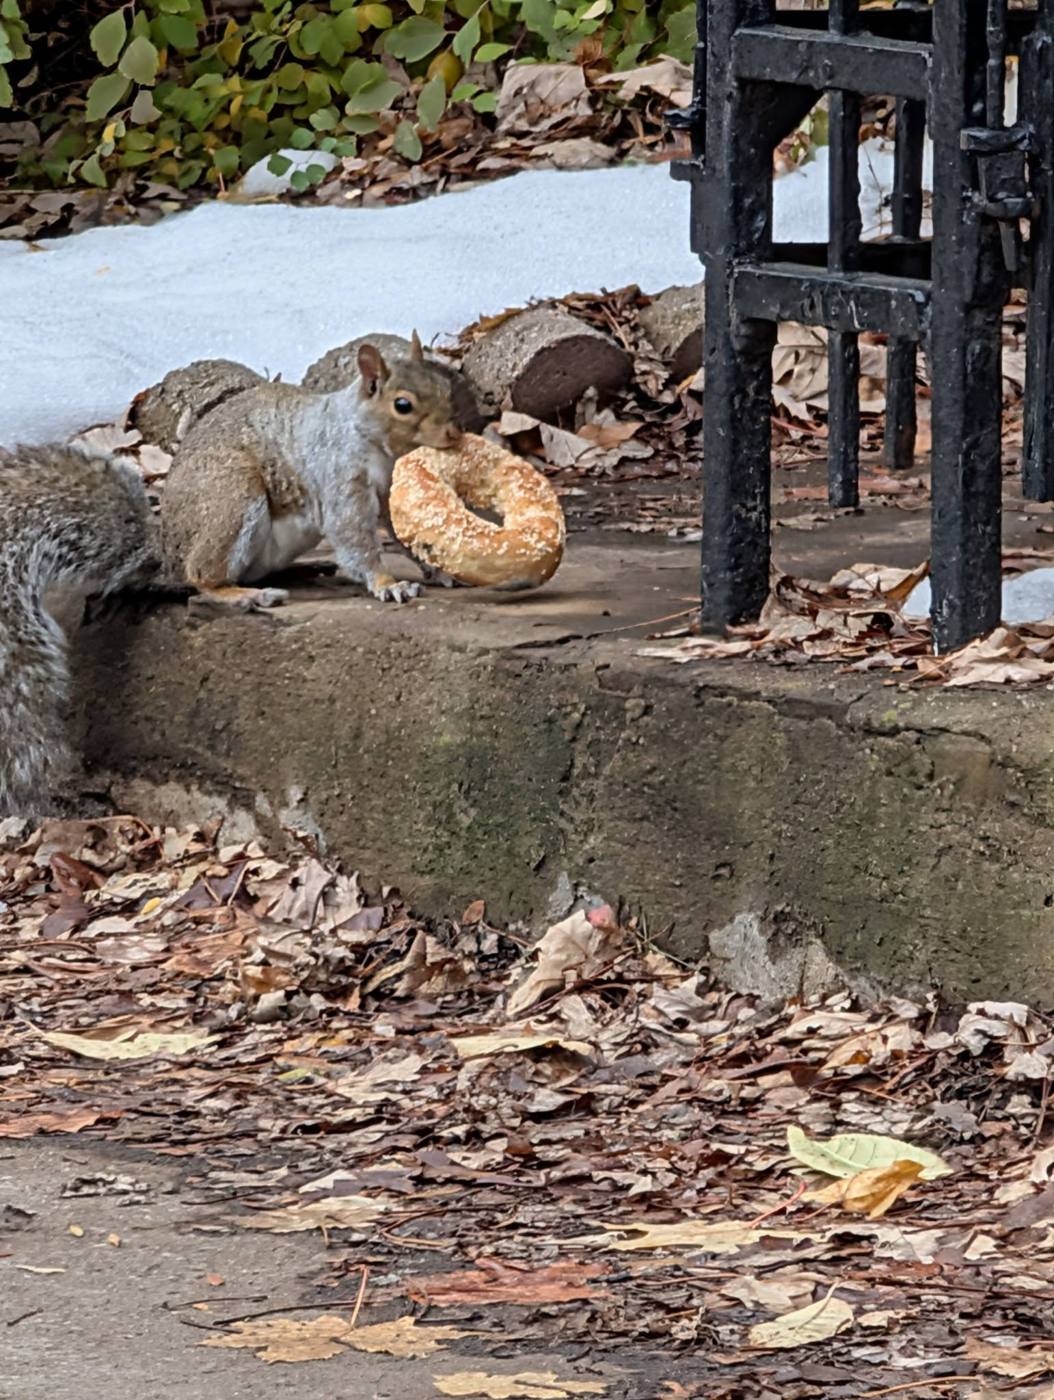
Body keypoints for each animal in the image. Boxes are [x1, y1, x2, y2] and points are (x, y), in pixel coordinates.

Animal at [160, 334, 462, 608]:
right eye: (402, 405)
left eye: (445, 387)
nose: (454, 433)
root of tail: (171, 552)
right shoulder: (340, 475)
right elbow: (352, 534)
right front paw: (387, 584)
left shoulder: (392, 493)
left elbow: (409, 537)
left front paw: (440, 571)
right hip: (232, 498)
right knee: (202, 577)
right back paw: (249, 595)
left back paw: (308, 568)